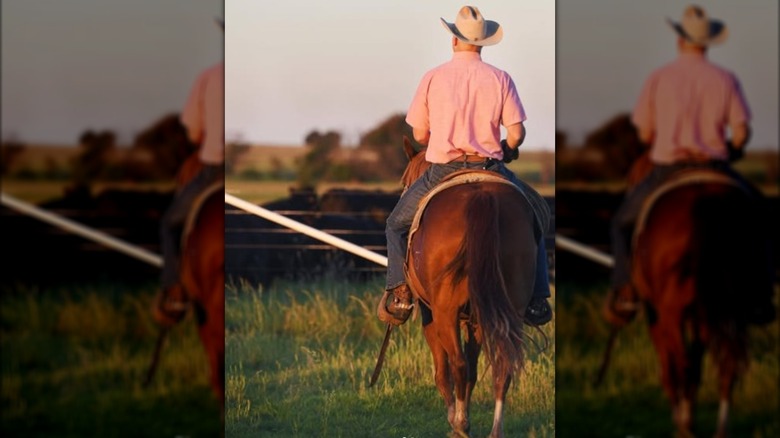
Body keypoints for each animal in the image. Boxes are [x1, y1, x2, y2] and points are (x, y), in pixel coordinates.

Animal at [394, 138, 540, 438]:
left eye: (404, 179)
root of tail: (481, 198)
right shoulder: (475, 319)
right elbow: (473, 369)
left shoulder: (430, 314)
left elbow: (444, 370)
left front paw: (456, 417)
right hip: (509, 309)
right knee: (502, 367)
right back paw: (494, 431)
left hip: (445, 312)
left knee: (457, 364)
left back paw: (459, 425)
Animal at [628, 153, 772, 434]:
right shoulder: (703, 317)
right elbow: (698, 365)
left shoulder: (655, 313)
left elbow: (671, 366)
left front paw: (681, 417)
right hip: (731, 309)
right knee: (726, 367)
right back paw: (719, 429)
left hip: (671, 314)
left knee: (680, 365)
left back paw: (685, 427)